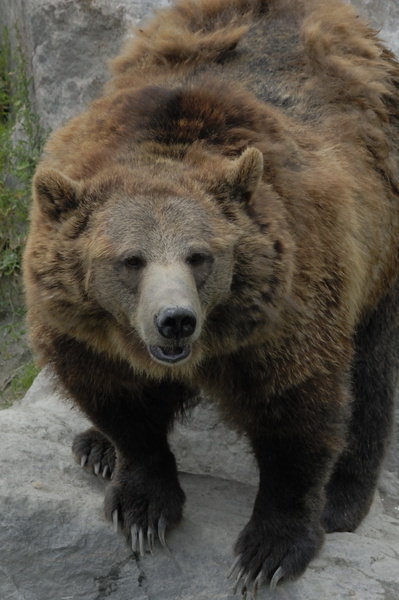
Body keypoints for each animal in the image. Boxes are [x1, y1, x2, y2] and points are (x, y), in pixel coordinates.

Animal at [22, 0, 399, 592]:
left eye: (200, 256)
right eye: (131, 260)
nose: (175, 320)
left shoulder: (288, 308)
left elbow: (298, 415)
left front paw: (270, 549)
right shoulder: (79, 325)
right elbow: (118, 402)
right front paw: (141, 501)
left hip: (379, 236)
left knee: (370, 372)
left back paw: (345, 495)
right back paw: (93, 447)